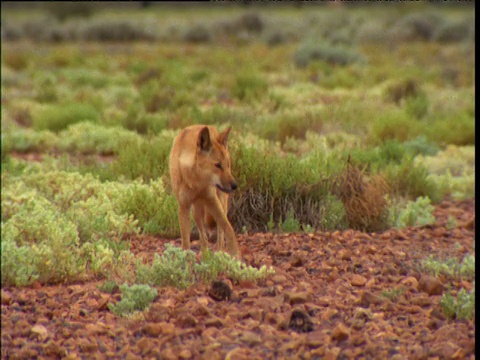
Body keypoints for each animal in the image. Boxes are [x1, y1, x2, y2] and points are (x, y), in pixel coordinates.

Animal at [169, 125, 240, 258]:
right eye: (218, 165)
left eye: (227, 165)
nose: (235, 186)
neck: (195, 182)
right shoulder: (183, 207)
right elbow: (186, 242)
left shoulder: (211, 199)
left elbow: (228, 229)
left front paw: (236, 257)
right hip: (196, 213)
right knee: (204, 236)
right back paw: (205, 255)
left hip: (221, 202)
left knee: (219, 231)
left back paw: (219, 252)